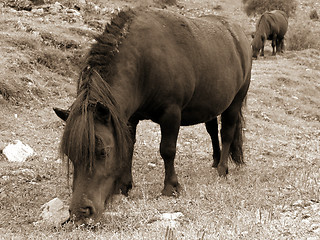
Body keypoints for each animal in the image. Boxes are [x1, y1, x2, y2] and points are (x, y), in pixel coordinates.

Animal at [53, 7, 251, 225]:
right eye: (70, 154)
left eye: (103, 152)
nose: (80, 212)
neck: (143, 62)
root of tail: (239, 34)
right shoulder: (130, 119)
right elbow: (129, 147)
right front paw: (124, 186)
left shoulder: (171, 113)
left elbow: (167, 150)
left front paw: (171, 187)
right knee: (213, 131)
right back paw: (215, 161)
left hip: (235, 102)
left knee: (227, 133)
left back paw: (222, 169)